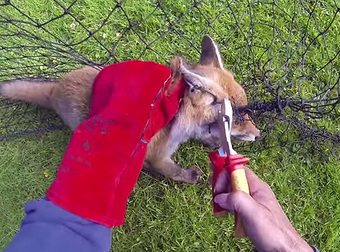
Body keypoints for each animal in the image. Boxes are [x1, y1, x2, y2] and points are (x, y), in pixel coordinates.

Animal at [0, 35, 260, 184]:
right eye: (236, 117)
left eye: (247, 111)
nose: (259, 135)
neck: (176, 116)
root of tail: (56, 88)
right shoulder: (158, 154)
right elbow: (171, 171)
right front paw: (189, 176)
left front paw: (211, 141)